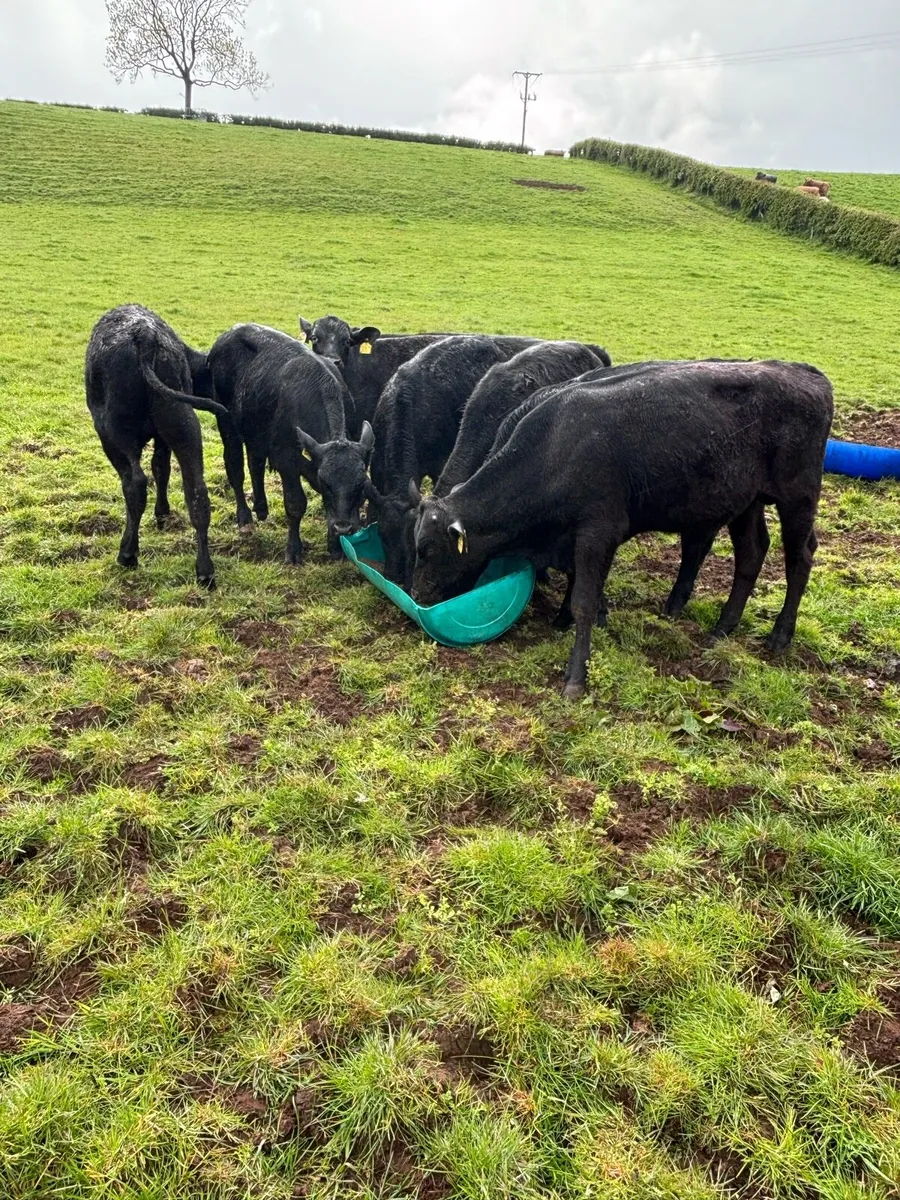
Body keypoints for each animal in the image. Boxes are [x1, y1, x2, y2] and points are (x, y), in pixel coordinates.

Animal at [84, 305, 227, 587]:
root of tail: (145, 334)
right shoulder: (164, 439)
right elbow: (162, 468)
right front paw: (162, 514)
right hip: (182, 423)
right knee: (197, 491)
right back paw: (205, 570)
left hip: (115, 435)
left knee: (135, 484)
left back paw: (127, 554)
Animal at [411, 360, 833, 700]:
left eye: (428, 550)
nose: (417, 595)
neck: (554, 448)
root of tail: (803, 371)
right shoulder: (575, 539)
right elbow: (581, 586)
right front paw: (572, 620)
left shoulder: (598, 530)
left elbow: (584, 599)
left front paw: (575, 677)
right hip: (746, 502)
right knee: (751, 554)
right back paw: (722, 629)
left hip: (798, 496)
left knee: (800, 558)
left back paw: (780, 635)